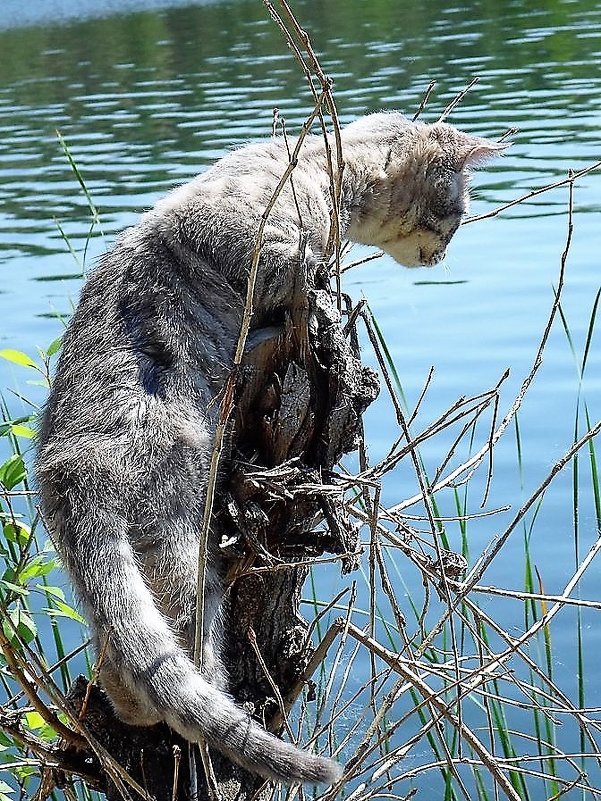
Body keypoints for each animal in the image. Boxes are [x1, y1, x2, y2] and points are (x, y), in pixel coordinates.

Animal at [34, 109, 502, 784]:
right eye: (456, 214)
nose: (444, 254)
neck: (326, 173)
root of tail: (72, 468)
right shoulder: (244, 234)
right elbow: (299, 272)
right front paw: (316, 288)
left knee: (121, 660)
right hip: (183, 547)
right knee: (174, 658)